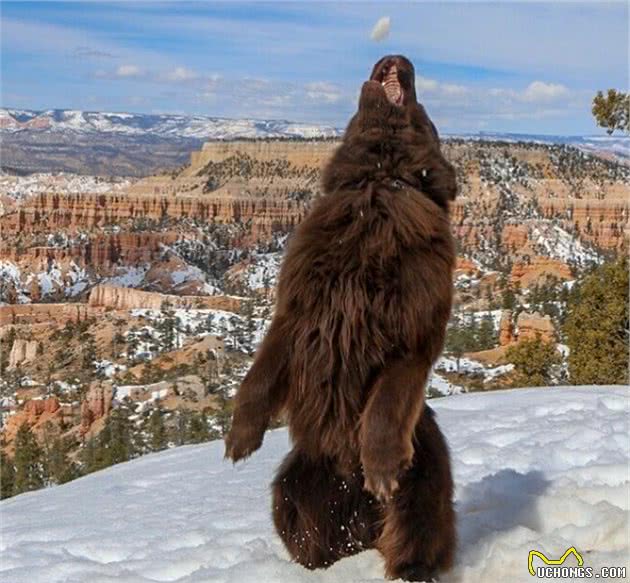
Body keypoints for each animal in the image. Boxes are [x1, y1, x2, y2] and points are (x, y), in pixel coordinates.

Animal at [227, 53, 460, 580]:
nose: (397, 56)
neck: (378, 185)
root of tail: (361, 522)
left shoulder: (413, 335)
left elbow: (386, 406)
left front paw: (381, 467)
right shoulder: (296, 313)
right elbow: (259, 377)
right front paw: (240, 438)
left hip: (425, 480)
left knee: (413, 534)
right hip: (294, 484)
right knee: (312, 539)